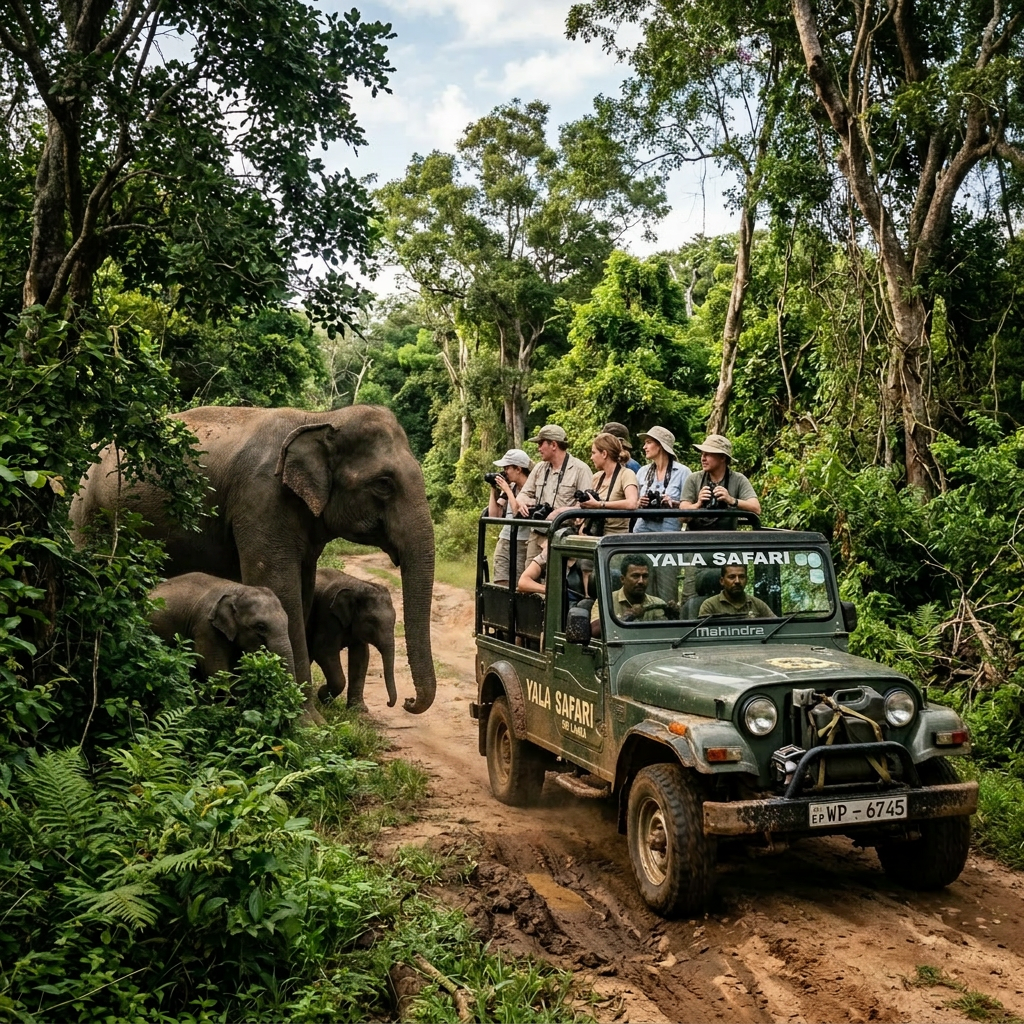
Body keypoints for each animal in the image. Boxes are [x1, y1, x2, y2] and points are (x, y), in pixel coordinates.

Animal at [308, 568, 397, 710]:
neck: (358, 585)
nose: (388, 703)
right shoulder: (327, 615)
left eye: (394, 620)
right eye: (371, 621)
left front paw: (358, 709)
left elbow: (361, 656)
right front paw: (323, 696)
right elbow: (323, 651)